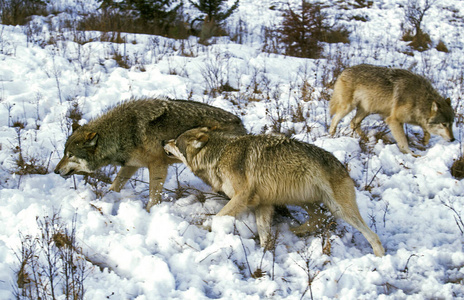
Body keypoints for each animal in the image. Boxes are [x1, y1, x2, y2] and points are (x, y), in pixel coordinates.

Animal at [54, 98, 246, 211]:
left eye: (70, 155)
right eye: (64, 153)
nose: (55, 171)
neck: (120, 133)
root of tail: (241, 122)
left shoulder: (157, 166)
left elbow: (153, 197)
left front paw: (150, 212)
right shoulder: (131, 165)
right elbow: (115, 185)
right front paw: (104, 200)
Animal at [165, 127, 386, 256]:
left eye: (175, 141)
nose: (162, 142)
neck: (219, 154)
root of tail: (342, 166)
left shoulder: (242, 196)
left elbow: (217, 217)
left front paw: (201, 228)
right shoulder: (263, 203)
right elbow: (264, 233)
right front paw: (265, 254)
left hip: (340, 209)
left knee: (372, 234)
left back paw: (379, 257)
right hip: (302, 199)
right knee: (319, 216)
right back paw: (296, 231)